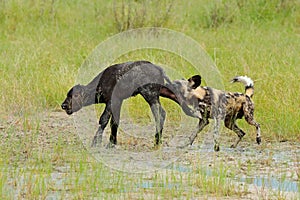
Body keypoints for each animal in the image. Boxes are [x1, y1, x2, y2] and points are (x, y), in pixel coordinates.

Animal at [61, 60, 202, 147]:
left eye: (74, 95)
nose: (64, 105)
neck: (101, 82)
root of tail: (158, 68)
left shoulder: (111, 101)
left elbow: (104, 120)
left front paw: (96, 143)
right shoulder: (118, 102)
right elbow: (114, 122)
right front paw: (111, 143)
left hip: (150, 95)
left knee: (160, 113)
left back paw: (157, 141)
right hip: (163, 92)